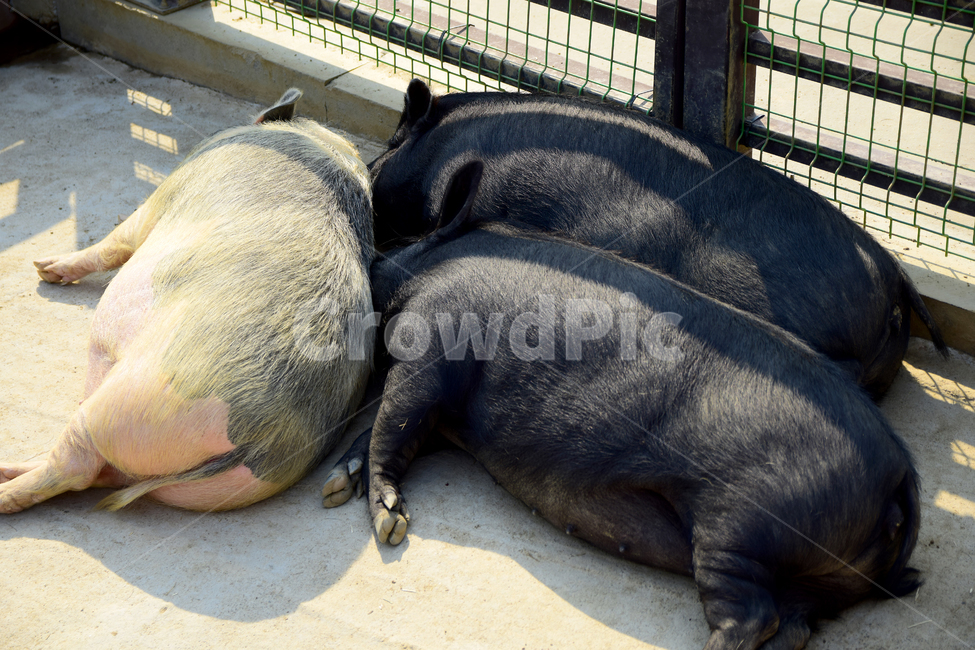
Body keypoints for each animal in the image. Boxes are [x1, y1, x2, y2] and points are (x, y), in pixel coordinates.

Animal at [0, 89, 375, 513]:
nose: (41, 267)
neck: (323, 143)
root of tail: (264, 440)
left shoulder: (164, 195)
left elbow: (116, 242)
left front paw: (43, 269)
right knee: (90, 471)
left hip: (134, 401)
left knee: (74, 467)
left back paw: (2, 491)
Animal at [323, 162, 921, 650]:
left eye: (387, 248)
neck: (434, 264)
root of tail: (899, 468)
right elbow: (391, 429)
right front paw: (336, 487)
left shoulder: (432, 346)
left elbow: (393, 420)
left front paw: (389, 524)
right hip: (810, 571)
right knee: (793, 625)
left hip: (742, 522)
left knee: (754, 618)